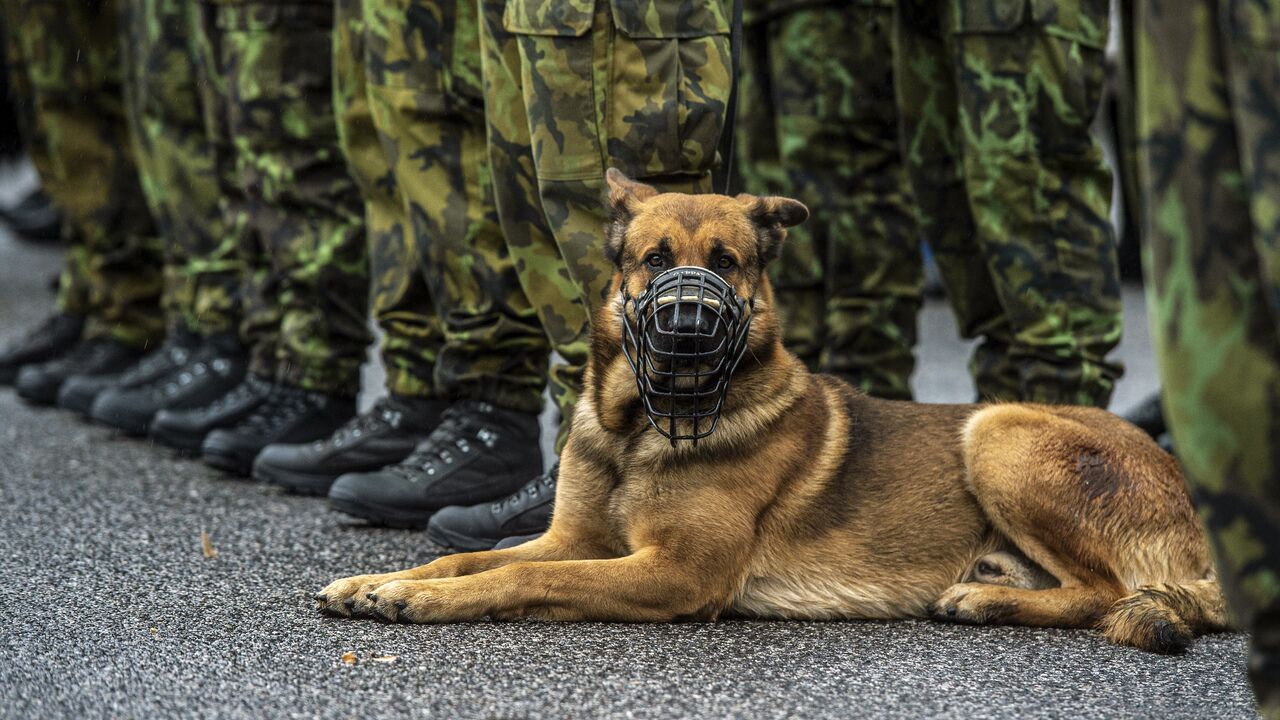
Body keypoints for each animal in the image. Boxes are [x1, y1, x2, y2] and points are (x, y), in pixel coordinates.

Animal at [314, 167, 1223, 650]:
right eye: (655, 260)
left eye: (727, 262)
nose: (687, 321)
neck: (638, 429)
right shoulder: (571, 536)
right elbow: (468, 557)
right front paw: (381, 581)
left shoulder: (675, 573)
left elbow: (520, 579)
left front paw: (424, 602)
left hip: (998, 428)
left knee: (1105, 591)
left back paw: (985, 600)